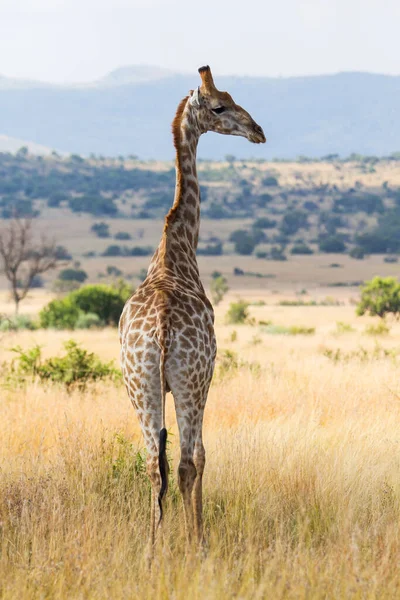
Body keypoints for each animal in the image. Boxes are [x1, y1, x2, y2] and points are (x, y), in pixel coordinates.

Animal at [120, 64, 268, 548]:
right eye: (219, 106)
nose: (258, 131)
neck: (177, 249)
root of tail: (162, 332)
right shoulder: (209, 375)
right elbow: (200, 458)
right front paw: (197, 535)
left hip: (139, 384)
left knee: (153, 465)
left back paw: (151, 548)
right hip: (190, 380)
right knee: (187, 460)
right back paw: (195, 544)